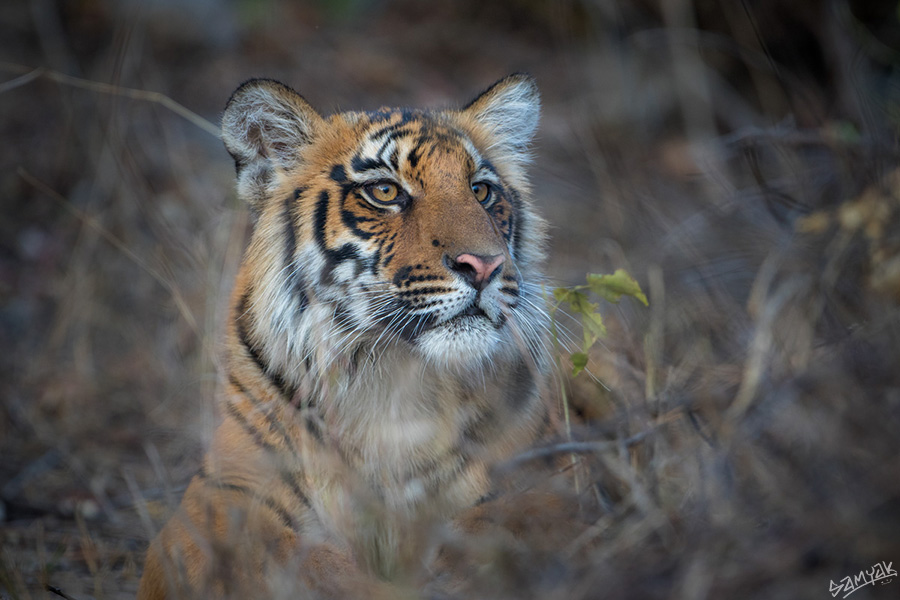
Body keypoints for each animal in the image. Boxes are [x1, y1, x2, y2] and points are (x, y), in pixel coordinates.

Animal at [137, 72, 552, 596]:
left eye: (480, 190)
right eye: (385, 191)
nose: (484, 265)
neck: (389, 380)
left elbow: (506, 523)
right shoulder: (218, 498)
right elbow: (294, 563)